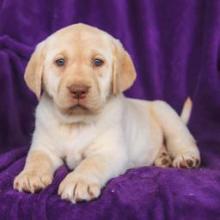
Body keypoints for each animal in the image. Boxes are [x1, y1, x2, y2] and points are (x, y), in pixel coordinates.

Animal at [12, 23, 200, 203]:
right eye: (60, 62)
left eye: (97, 62)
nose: (78, 89)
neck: (76, 122)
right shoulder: (43, 147)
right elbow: (36, 159)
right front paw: (30, 176)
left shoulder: (110, 152)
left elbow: (91, 163)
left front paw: (79, 181)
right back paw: (163, 158)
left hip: (167, 115)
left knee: (183, 141)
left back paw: (186, 158)